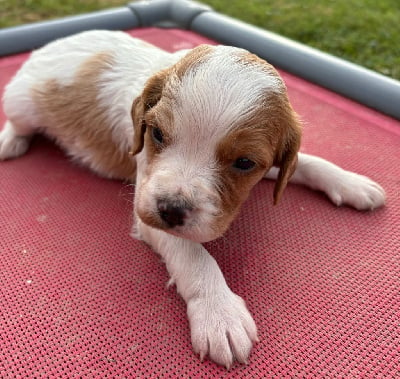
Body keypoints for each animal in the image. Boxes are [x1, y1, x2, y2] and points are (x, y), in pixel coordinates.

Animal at [0, 31, 388, 370]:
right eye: (156, 134)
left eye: (244, 162)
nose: (171, 210)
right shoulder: (148, 206)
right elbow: (193, 254)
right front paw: (219, 314)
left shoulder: (271, 165)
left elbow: (306, 162)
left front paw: (350, 182)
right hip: (22, 104)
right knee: (18, 124)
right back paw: (10, 141)